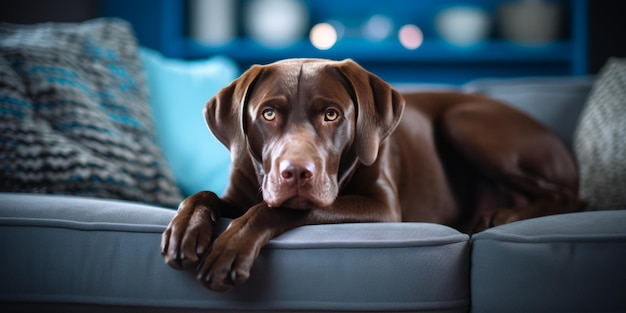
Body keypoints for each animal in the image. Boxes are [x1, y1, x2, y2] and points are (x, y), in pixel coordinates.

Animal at [158, 58, 576, 290]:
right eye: (268, 114)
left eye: (331, 114)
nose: (296, 173)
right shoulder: (239, 189)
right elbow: (204, 196)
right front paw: (185, 228)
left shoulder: (382, 207)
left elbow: (275, 208)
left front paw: (230, 247)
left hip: (464, 120)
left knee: (570, 195)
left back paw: (501, 215)